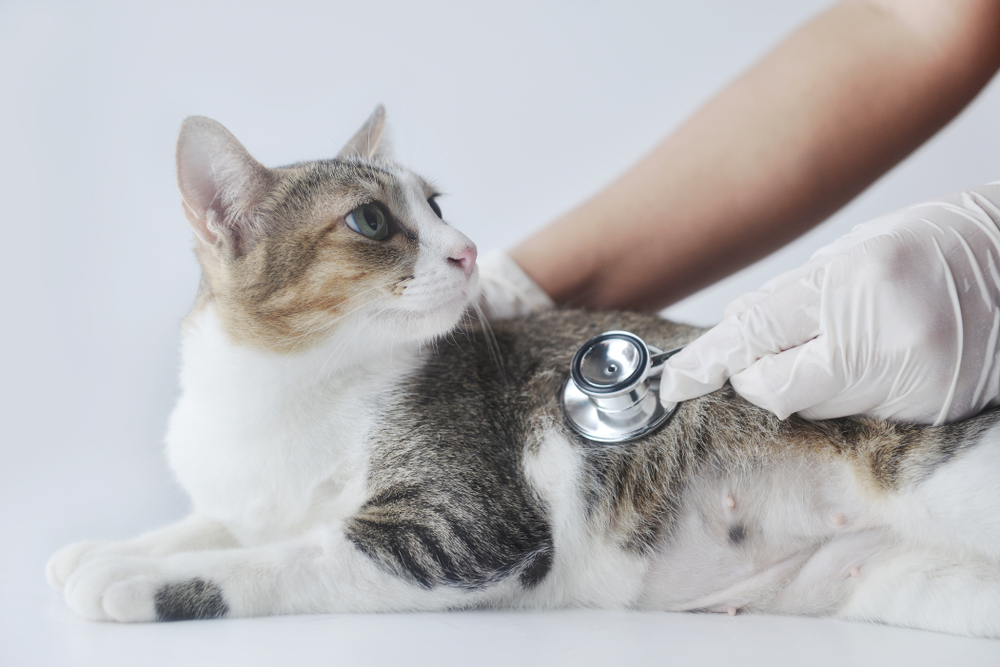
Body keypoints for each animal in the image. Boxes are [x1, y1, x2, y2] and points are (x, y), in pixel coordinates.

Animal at [45, 108, 1000, 636]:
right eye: (370, 220)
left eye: (435, 205)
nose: (469, 251)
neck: (278, 392)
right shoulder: (247, 492)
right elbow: (208, 524)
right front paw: (106, 546)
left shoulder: (462, 528)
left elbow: (277, 557)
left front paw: (131, 579)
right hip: (917, 584)